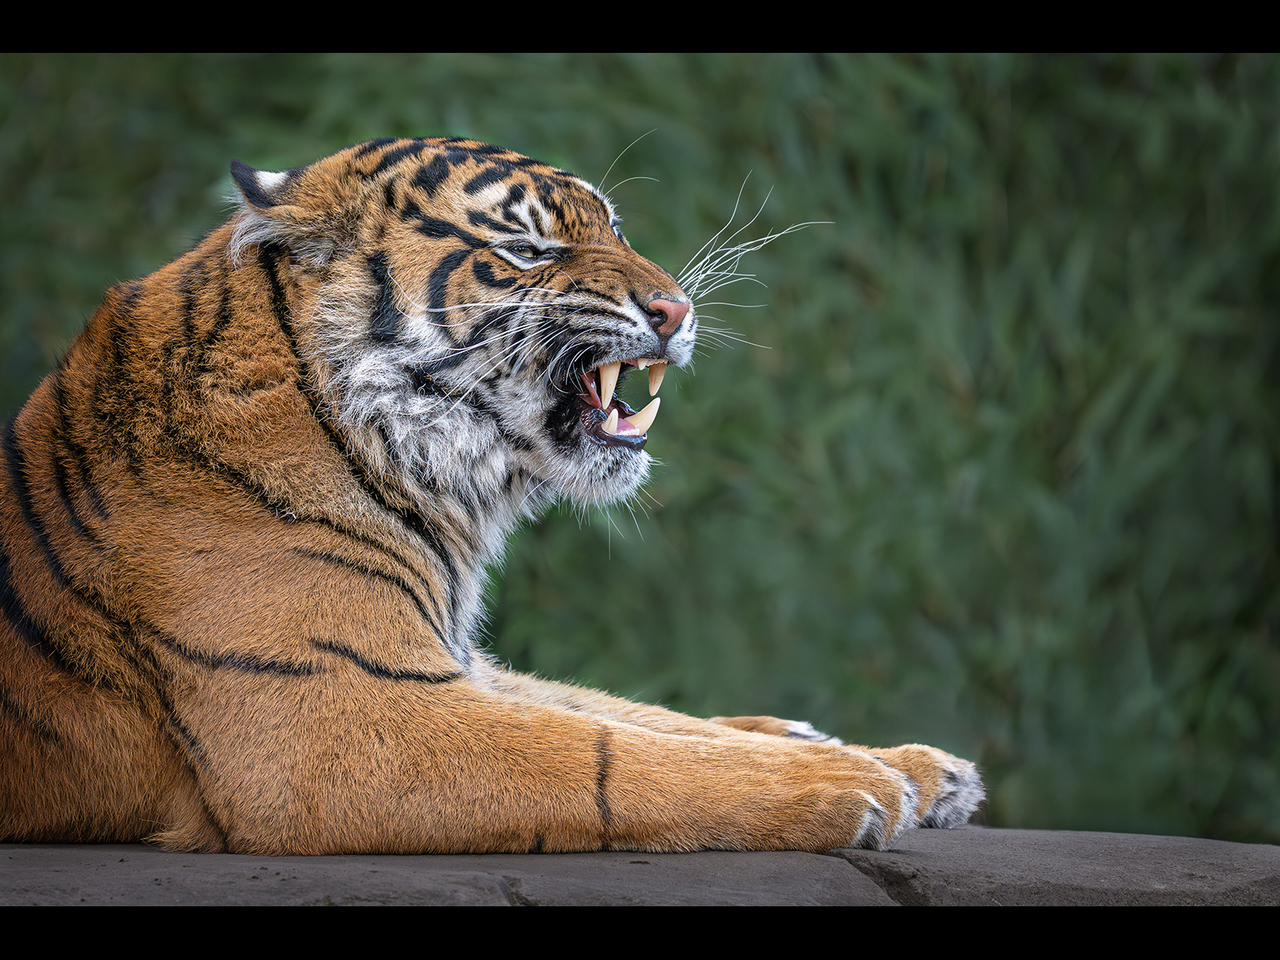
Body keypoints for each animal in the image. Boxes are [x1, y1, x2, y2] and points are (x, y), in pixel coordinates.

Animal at [0, 137, 983, 855]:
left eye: (617, 229)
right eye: (525, 250)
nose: (677, 309)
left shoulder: (442, 661)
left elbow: (632, 713)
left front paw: (911, 765)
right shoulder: (332, 722)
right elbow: (610, 755)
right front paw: (852, 783)